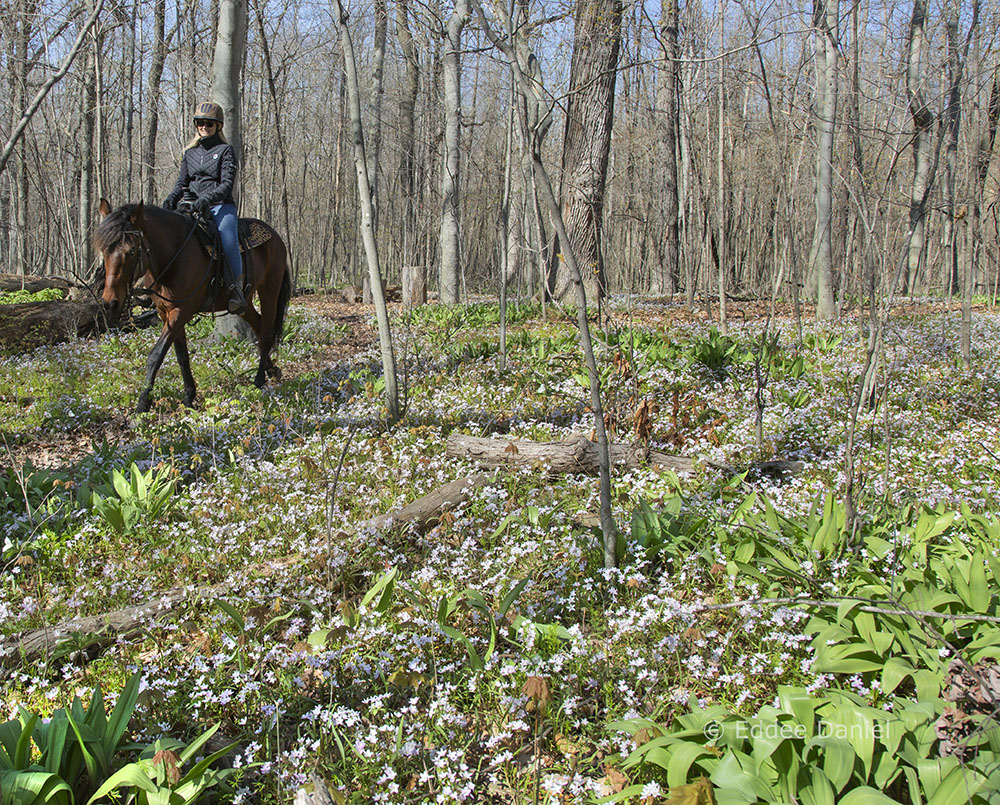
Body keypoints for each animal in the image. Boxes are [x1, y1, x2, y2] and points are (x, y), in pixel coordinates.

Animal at [94, 199, 290, 414]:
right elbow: (182, 356)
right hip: (245, 303)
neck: (173, 254)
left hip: (269, 290)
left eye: (130, 251)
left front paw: (143, 402)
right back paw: (272, 370)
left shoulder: (181, 311)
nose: (110, 302)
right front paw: (189, 397)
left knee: (266, 334)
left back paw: (259, 379)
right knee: (259, 325)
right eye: (103, 250)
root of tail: (277, 237)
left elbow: (156, 355)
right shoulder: (166, 313)